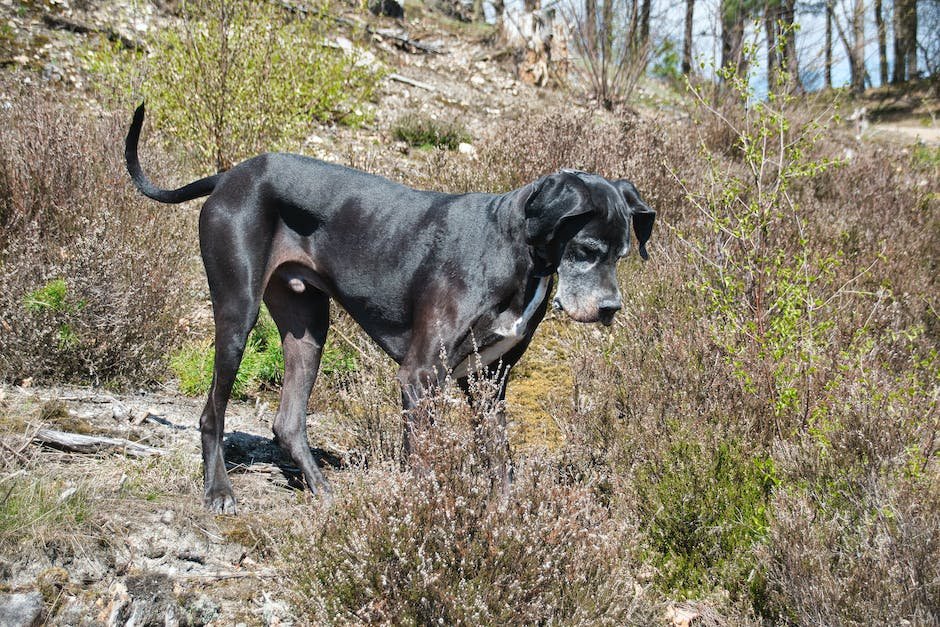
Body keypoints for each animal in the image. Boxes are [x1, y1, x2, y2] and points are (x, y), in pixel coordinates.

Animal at [123, 104, 652, 516]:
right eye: (585, 249)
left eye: (623, 253)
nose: (611, 308)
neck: (514, 249)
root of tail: (229, 175)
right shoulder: (420, 376)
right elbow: (422, 462)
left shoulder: (490, 384)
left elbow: (500, 462)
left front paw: (506, 523)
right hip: (237, 315)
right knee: (212, 412)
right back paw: (219, 491)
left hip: (308, 327)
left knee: (287, 423)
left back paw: (323, 491)